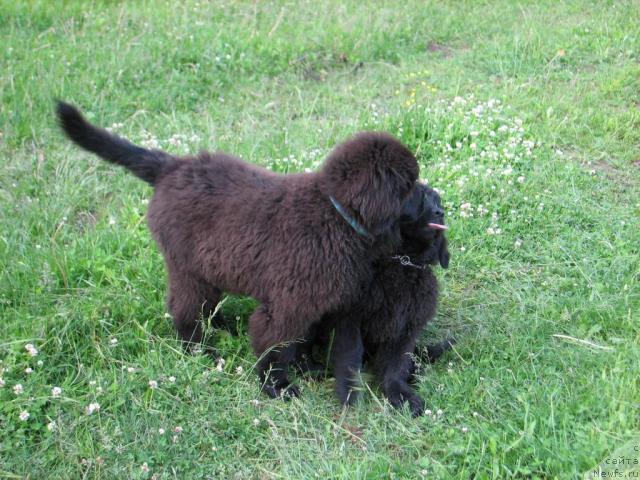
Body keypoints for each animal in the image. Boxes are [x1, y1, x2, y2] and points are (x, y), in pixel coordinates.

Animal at [57, 101, 422, 398]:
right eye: (409, 185)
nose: (431, 197)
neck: (335, 215)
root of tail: (172, 166)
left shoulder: (315, 301)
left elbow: (300, 341)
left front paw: (308, 369)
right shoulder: (287, 305)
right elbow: (276, 347)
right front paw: (276, 386)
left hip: (208, 266)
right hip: (187, 268)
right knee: (185, 311)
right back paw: (201, 351)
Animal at [304, 184, 450, 416]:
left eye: (438, 201)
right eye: (417, 196)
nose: (440, 212)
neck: (402, 262)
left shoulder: (404, 329)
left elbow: (396, 365)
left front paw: (400, 394)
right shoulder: (348, 322)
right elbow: (349, 358)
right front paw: (349, 393)